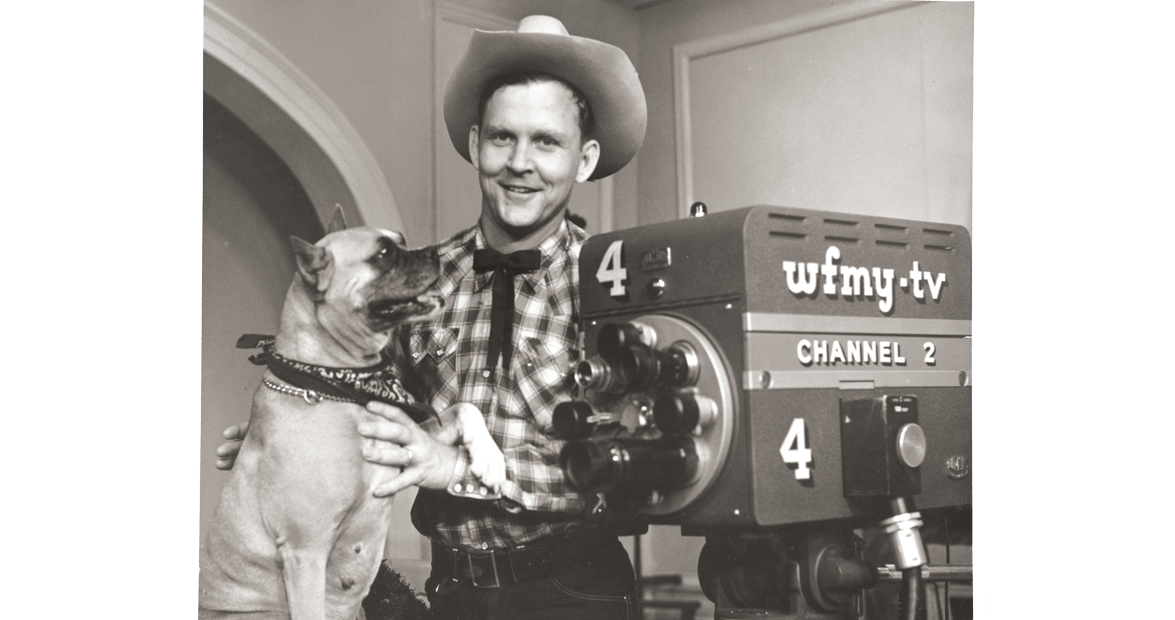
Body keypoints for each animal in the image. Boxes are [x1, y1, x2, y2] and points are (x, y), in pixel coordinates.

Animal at [199, 208, 505, 619]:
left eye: (401, 241)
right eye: (383, 254)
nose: (431, 252)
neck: (338, 386)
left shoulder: (409, 434)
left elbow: (464, 408)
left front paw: (491, 461)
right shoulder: (306, 554)